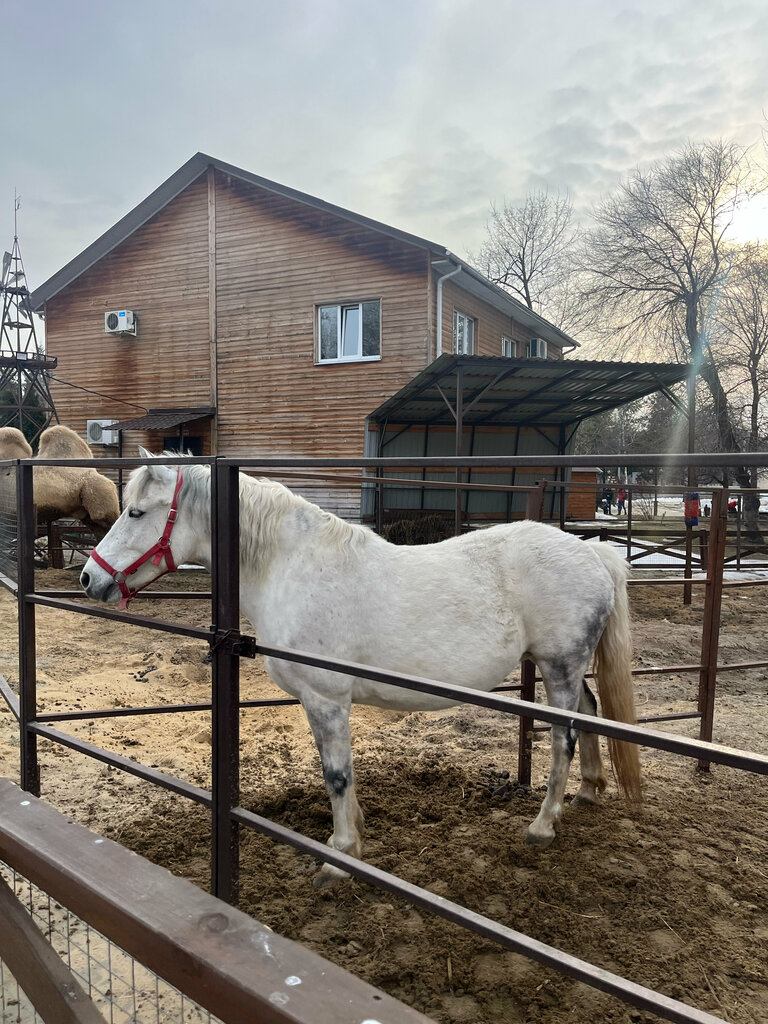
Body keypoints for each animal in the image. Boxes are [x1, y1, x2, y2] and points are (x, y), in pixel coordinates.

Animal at [81, 452, 643, 884]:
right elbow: (339, 773)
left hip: (559, 665)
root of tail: (593, 553)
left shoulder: (327, 699)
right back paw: (589, 791)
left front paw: (339, 857)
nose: (89, 578)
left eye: (136, 513)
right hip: (563, 666)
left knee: (564, 738)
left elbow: (336, 775)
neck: (291, 566)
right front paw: (351, 838)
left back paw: (543, 826)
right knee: (589, 714)